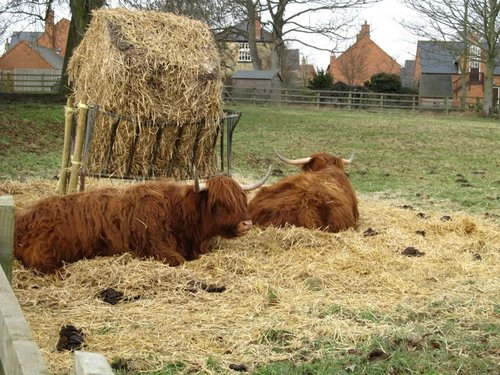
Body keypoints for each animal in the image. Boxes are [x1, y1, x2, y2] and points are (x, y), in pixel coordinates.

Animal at [13, 170, 270, 274]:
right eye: (219, 203)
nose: (246, 224)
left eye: (242, 199)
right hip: (46, 251)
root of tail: (23, 218)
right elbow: (179, 261)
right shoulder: (157, 248)